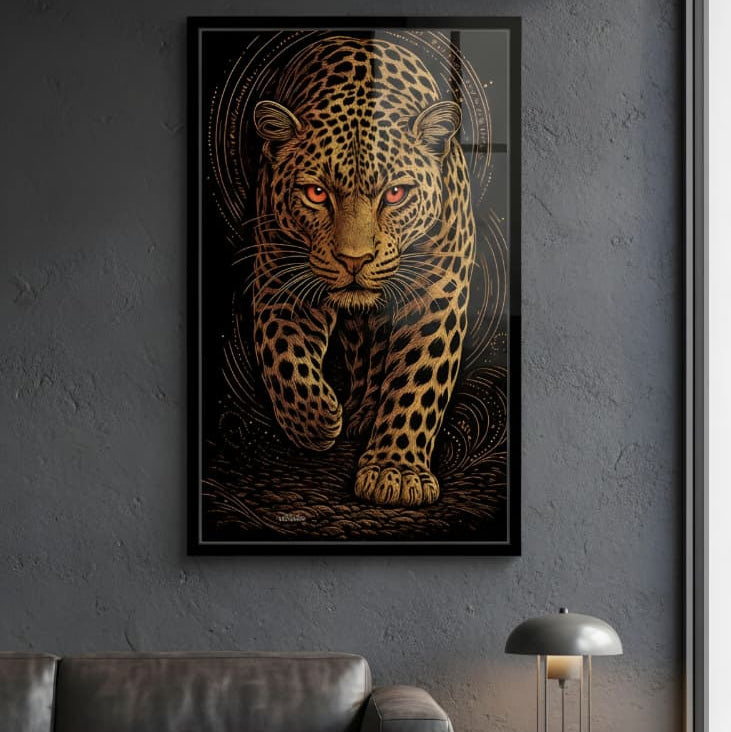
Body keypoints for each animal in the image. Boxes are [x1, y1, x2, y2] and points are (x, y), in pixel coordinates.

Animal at [250, 35, 476, 507]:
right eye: (317, 193)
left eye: (395, 194)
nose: (354, 260)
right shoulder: (282, 278)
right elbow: (282, 356)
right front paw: (316, 420)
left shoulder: (437, 287)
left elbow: (419, 378)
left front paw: (397, 472)